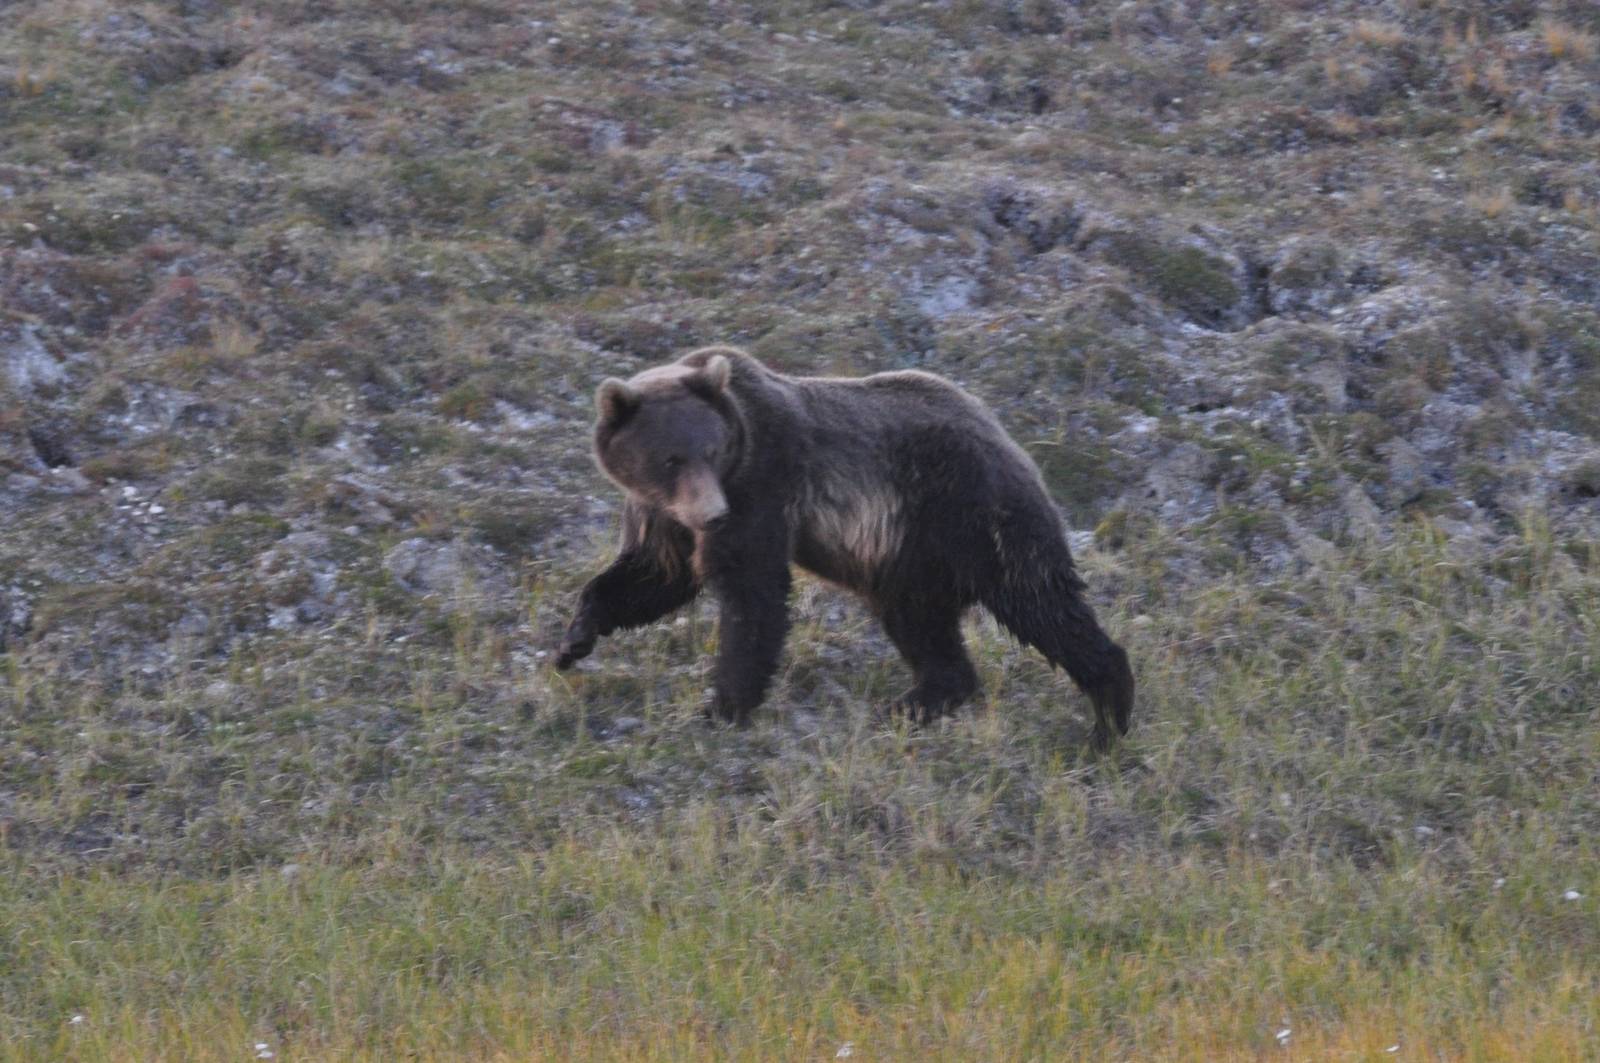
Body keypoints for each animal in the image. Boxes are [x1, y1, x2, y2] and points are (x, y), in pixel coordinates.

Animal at [555, 346, 1134, 750]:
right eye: (671, 458)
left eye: (712, 450)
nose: (713, 514)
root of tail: (1008, 437)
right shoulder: (660, 515)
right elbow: (654, 576)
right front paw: (574, 639)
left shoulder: (764, 483)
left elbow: (752, 592)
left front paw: (724, 705)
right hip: (909, 560)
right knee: (922, 627)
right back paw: (914, 703)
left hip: (972, 516)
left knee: (1039, 602)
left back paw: (1109, 713)